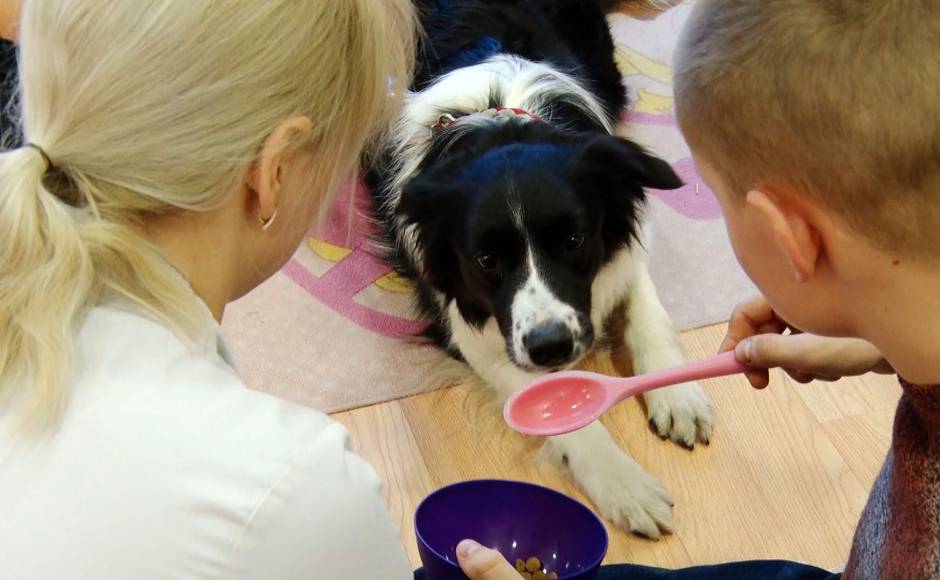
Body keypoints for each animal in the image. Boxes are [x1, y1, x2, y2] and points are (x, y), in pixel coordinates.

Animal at [368, 0, 712, 540]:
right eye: (486, 260)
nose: (551, 347)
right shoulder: (468, 323)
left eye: (573, 241)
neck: (499, 122)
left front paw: (677, 395)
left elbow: (648, 314)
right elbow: (554, 406)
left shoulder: (621, 240)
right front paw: (623, 482)